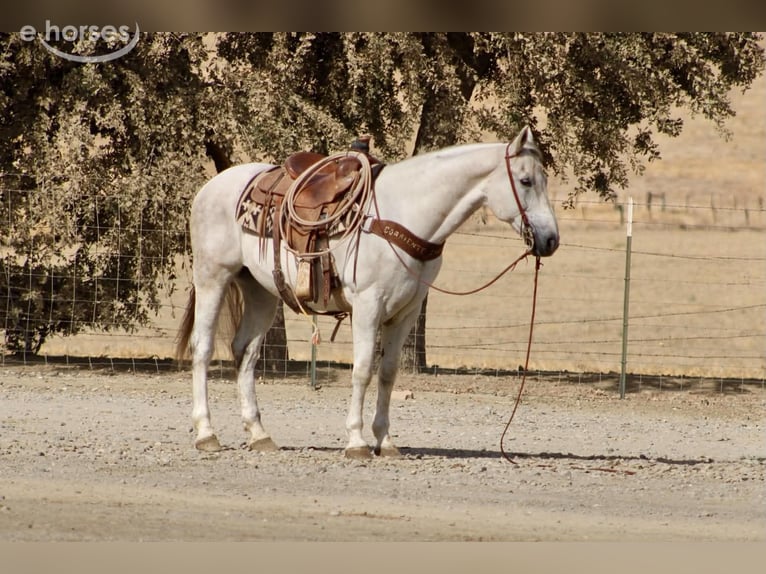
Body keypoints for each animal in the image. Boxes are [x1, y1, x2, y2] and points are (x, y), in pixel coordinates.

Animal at [175, 126, 560, 459]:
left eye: (544, 180)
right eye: (525, 181)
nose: (551, 239)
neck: (403, 213)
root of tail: (211, 187)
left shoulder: (406, 312)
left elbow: (388, 372)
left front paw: (385, 441)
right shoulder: (367, 306)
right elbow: (362, 370)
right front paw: (357, 442)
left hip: (261, 292)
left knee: (247, 353)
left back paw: (258, 434)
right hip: (212, 277)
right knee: (203, 348)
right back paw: (206, 434)